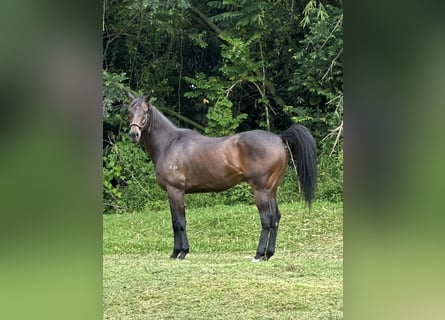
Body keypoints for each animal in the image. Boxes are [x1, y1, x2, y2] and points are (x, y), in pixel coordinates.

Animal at [126, 93, 318, 262]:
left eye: (145, 111)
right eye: (130, 110)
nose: (133, 134)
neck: (170, 144)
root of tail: (279, 138)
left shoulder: (175, 191)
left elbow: (179, 222)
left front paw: (181, 253)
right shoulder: (173, 193)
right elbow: (176, 221)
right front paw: (177, 252)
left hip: (260, 190)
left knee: (267, 219)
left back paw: (258, 255)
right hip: (271, 190)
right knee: (276, 218)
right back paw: (268, 254)